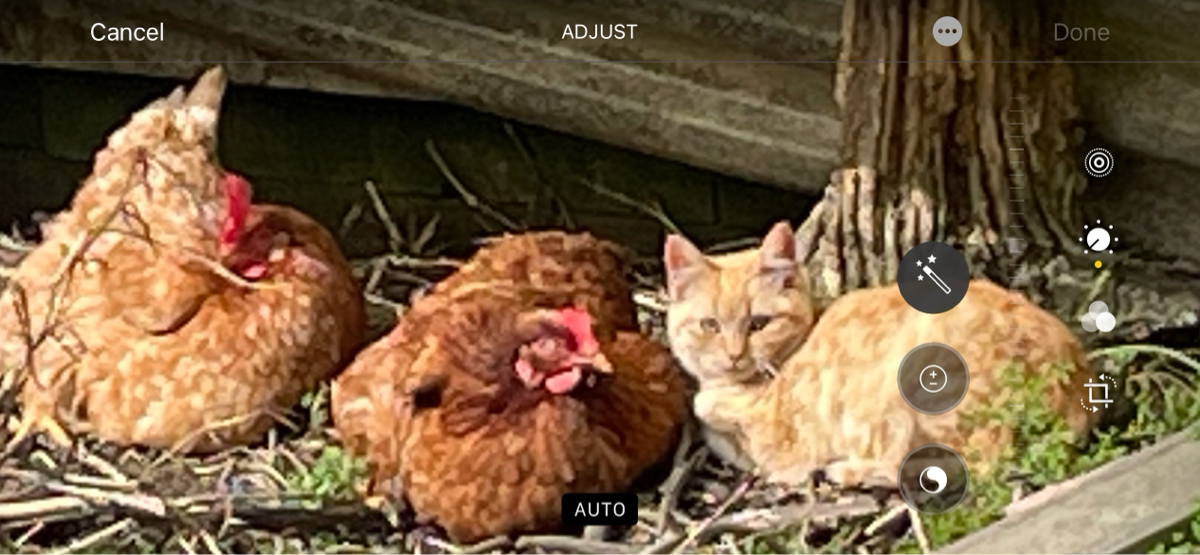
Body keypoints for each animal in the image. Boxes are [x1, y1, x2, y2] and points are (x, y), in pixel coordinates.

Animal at [663, 221, 1096, 487]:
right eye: (709, 325)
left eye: (759, 323)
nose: (734, 355)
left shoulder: (784, 446)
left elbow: (717, 417)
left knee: (960, 463)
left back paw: (848, 470)